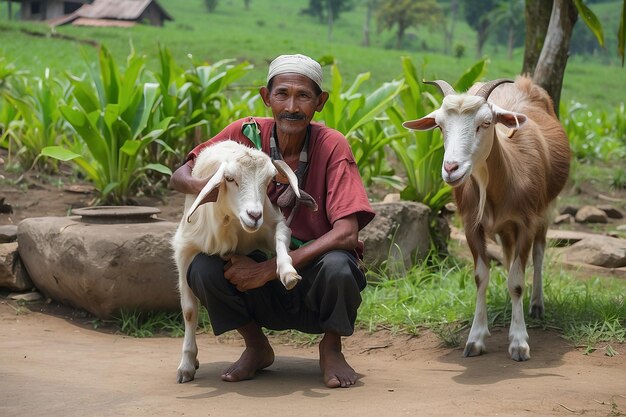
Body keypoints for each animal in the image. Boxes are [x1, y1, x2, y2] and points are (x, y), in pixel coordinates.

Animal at [173, 138, 302, 382]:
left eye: (269, 181)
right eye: (230, 179)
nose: (254, 215)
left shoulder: (272, 222)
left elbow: (281, 237)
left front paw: (287, 272)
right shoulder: (185, 249)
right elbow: (189, 311)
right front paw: (185, 365)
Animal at [402, 76, 568, 360]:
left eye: (486, 123)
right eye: (439, 125)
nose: (451, 168)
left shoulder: (526, 222)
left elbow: (517, 282)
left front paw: (519, 342)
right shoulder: (472, 226)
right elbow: (481, 277)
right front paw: (476, 338)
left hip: (545, 209)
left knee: (538, 252)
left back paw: (536, 304)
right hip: (506, 228)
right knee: (509, 255)